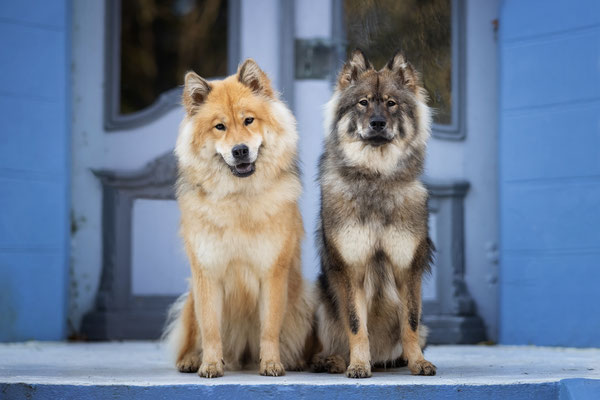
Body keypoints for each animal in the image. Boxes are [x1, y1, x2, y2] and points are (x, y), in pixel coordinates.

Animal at [164, 58, 314, 378]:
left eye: (249, 121)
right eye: (219, 127)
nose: (240, 150)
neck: (239, 199)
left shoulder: (272, 273)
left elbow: (269, 328)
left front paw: (271, 364)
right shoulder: (207, 274)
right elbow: (210, 329)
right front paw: (210, 365)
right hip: (191, 299)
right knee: (191, 335)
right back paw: (190, 360)